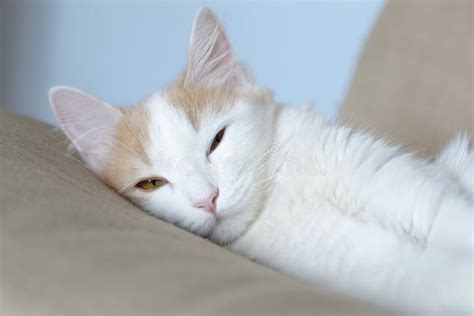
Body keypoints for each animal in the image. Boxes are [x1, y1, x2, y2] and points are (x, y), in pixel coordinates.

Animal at [49, 8, 474, 316]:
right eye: (151, 184)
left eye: (216, 141)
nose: (208, 200)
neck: (282, 195)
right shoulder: (384, 272)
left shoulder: (419, 196)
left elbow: (453, 221)